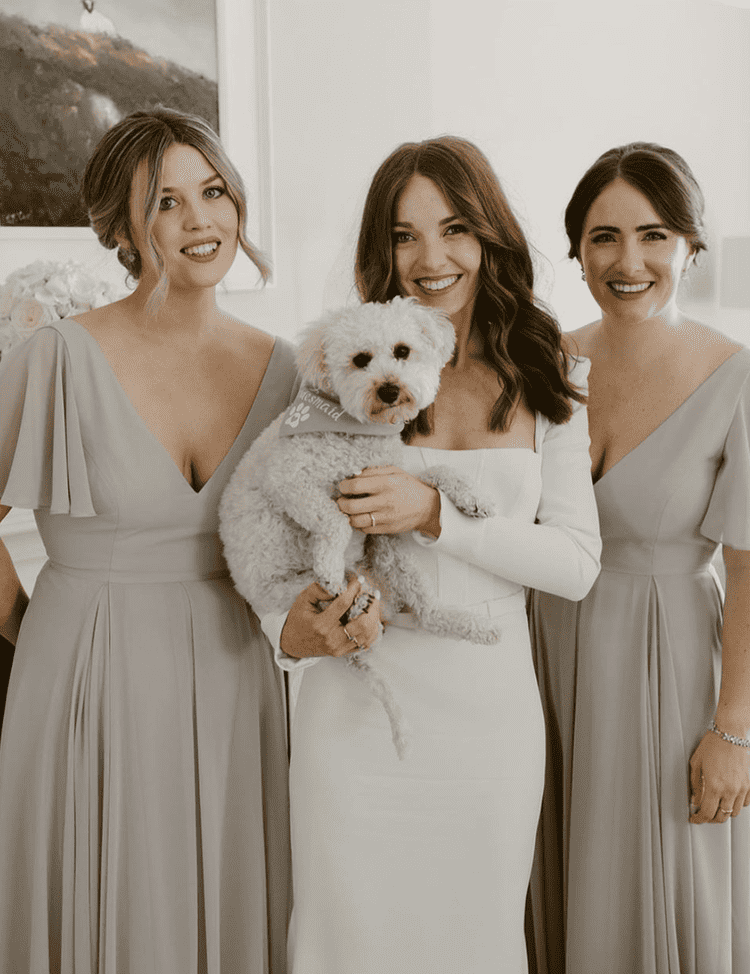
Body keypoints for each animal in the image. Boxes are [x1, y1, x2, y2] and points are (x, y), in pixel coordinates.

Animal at [223, 302, 506, 760]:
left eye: (402, 351)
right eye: (360, 360)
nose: (389, 389)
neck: (354, 431)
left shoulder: (390, 480)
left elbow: (437, 473)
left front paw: (472, 497)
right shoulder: (291, 482)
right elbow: (334, 520)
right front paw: (328, 561)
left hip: (388, 549)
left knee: (427, 613)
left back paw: (474, 627)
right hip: (299, 589)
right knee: (346, 594)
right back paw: (350, 597)